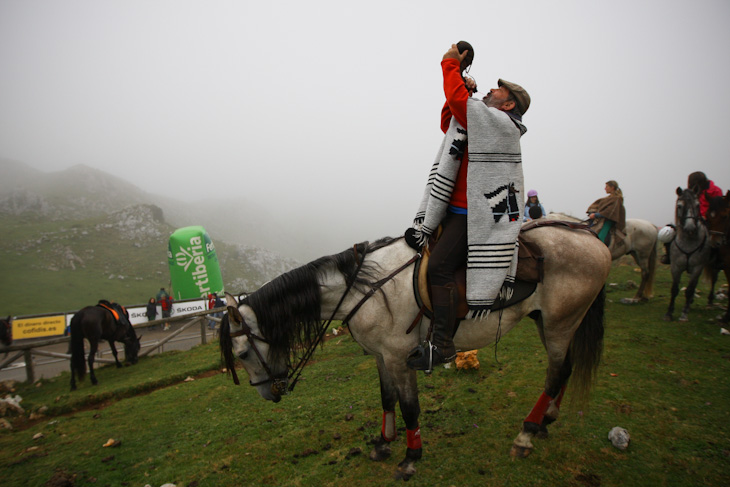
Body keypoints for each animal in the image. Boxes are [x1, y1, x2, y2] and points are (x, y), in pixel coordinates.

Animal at [218, 227, 608, 482]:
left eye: (243, 353)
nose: (268, 393)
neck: (365, 288)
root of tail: (594, 242)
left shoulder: (399, 357)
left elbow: (409, 407)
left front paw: (410, 457)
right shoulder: (381, 356)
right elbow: (386, 398)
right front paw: (383, 443)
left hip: (559, 325)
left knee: (556, 373)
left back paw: (526, 433)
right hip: (550, 322)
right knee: (565, 369)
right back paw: (546, 420)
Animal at [664, 189, 708, 322]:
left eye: (698, 205)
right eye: (679, 206)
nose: (690, 228)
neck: (688, 242)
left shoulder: (697, 268)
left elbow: (689, 290)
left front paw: (684, 314)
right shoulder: (676, 267)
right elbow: (674, 289)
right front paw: (669, 313)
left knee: (693, 287)